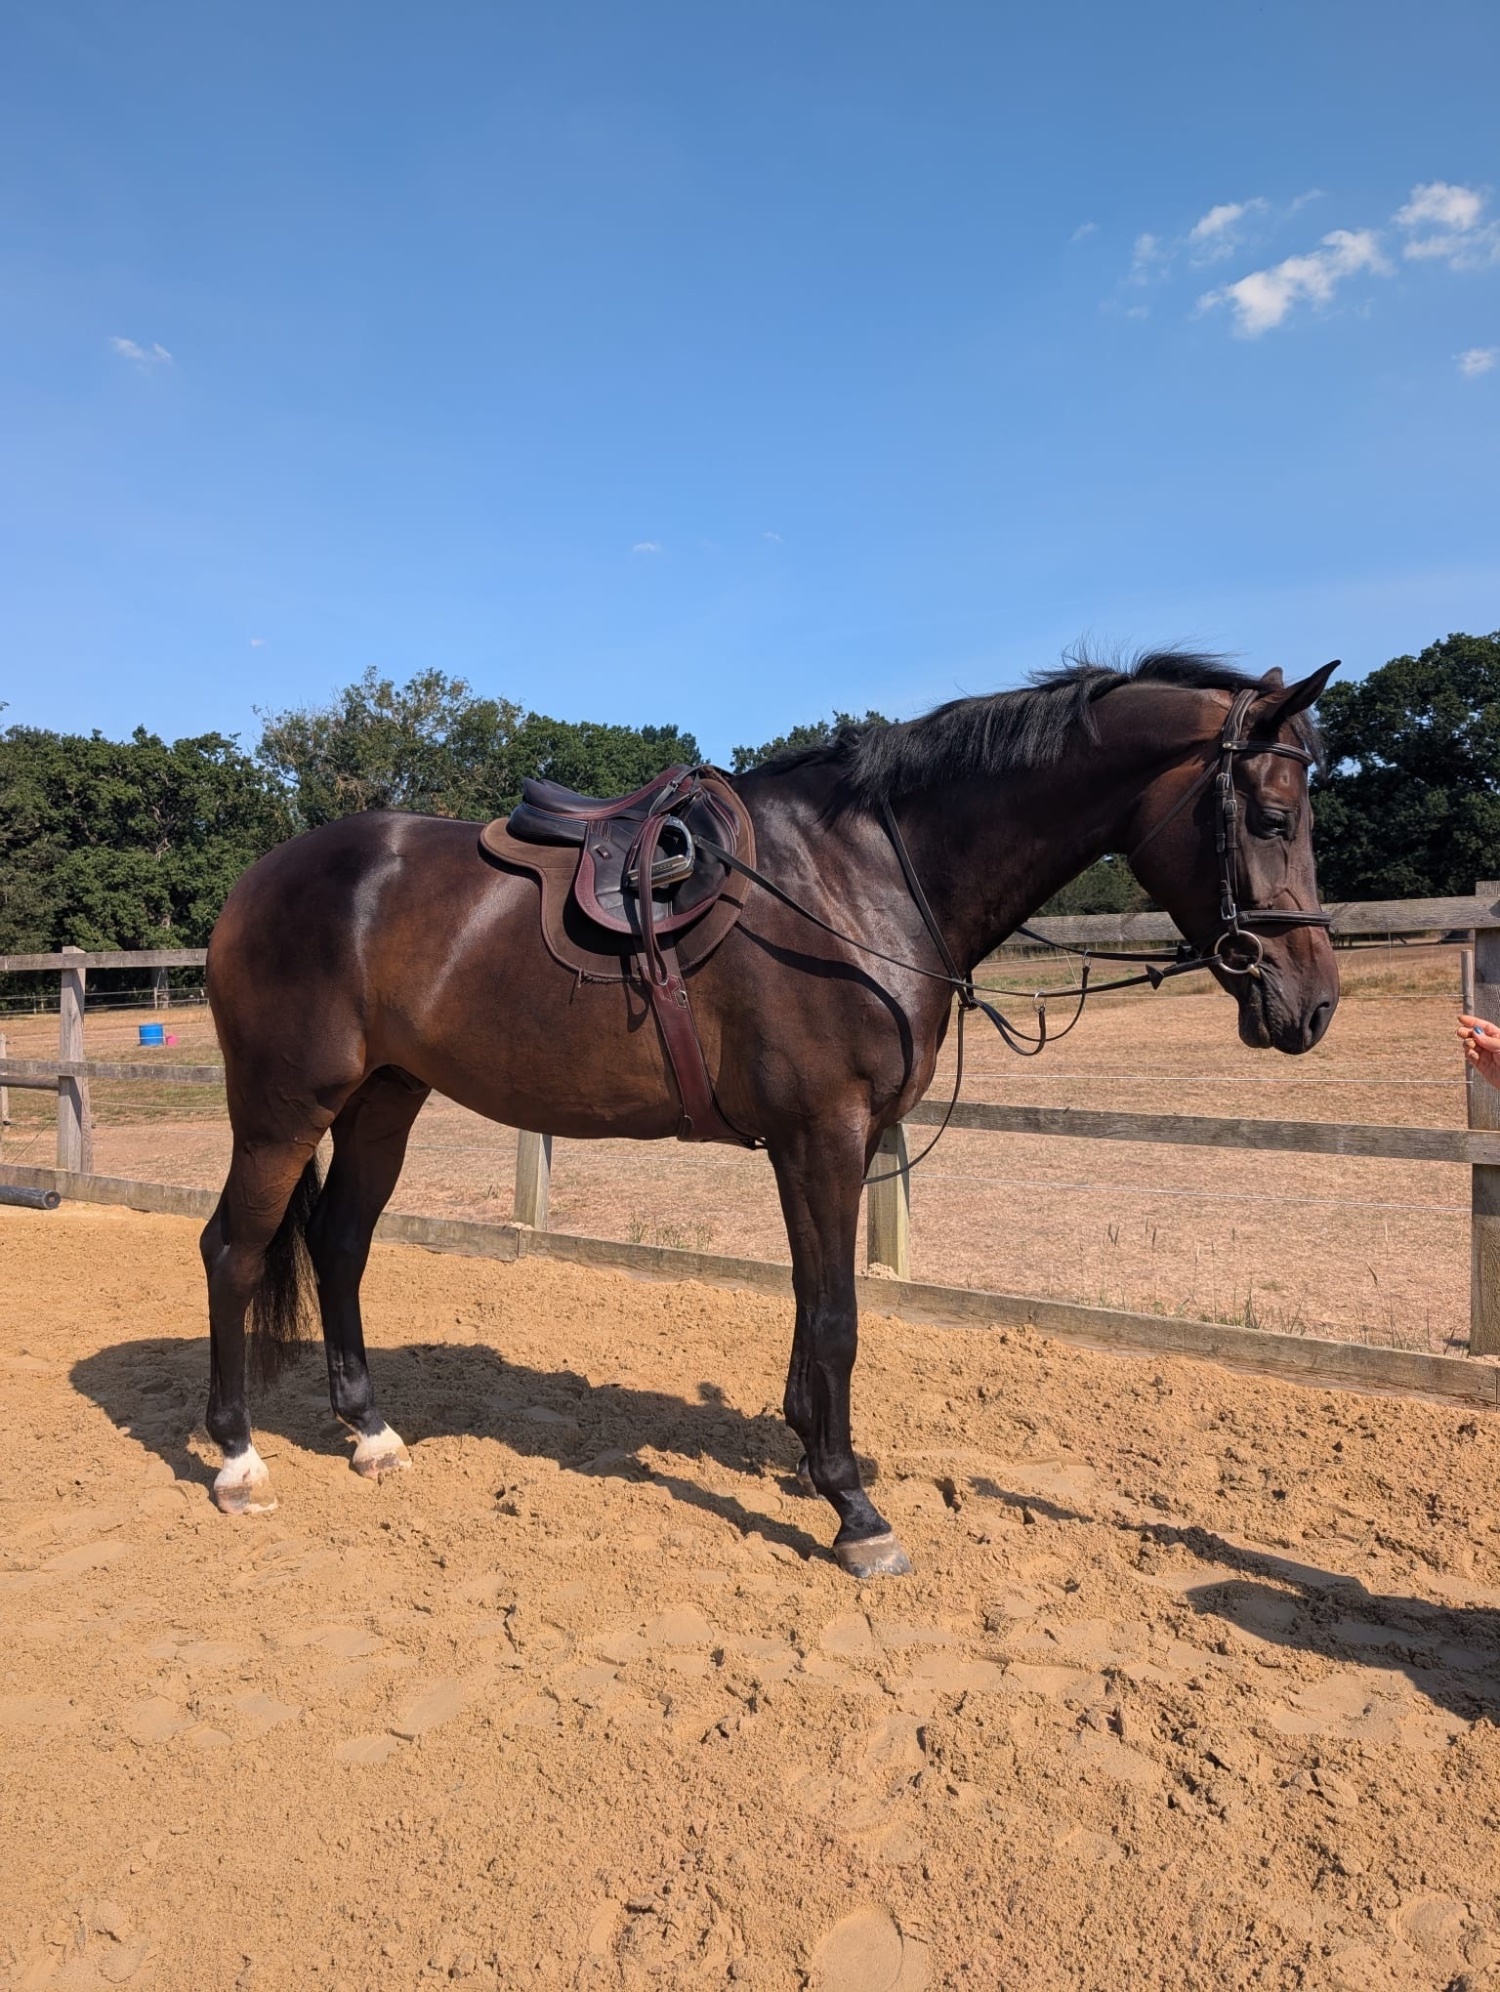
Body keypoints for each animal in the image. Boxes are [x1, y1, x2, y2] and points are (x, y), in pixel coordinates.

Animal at [198, 651, 1339, 1577]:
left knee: (341, 1245)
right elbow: (835, 1318)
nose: (1312, 1003)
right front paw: (854, 1509)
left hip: (384, 1100)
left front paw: (814, 1453)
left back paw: (369, 1433)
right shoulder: (823, 1133)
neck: (858, 881)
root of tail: (261, 879)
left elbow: (812, 1304)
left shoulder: (831, 1143)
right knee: (235, 1251)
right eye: (1273, 819)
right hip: (283, 1108)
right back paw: (238, 1459)